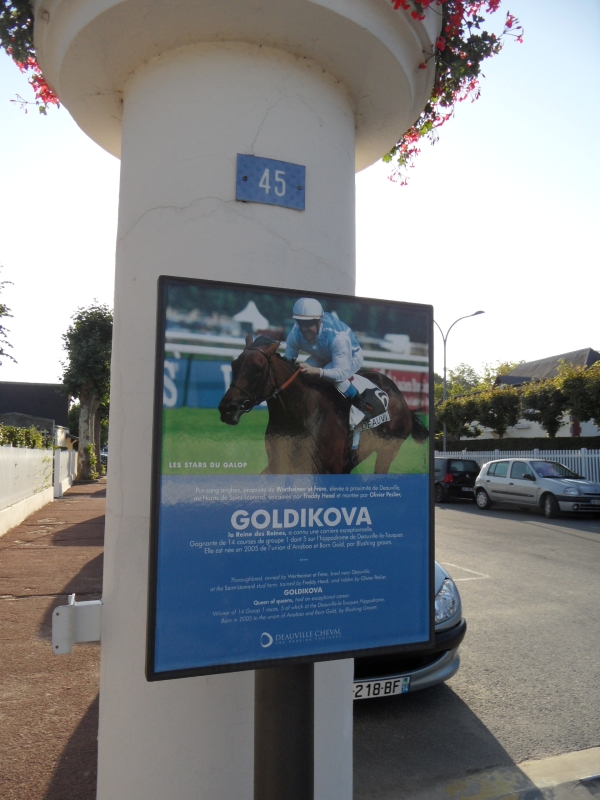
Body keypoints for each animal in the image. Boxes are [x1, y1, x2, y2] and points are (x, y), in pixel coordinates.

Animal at [217, 334, 428, 475]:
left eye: (258, 369)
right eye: (234, 365)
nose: (227, 408)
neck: (300, 414)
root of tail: (399, 397)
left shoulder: (328, 469)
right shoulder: (280, 465)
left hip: (388, 449)